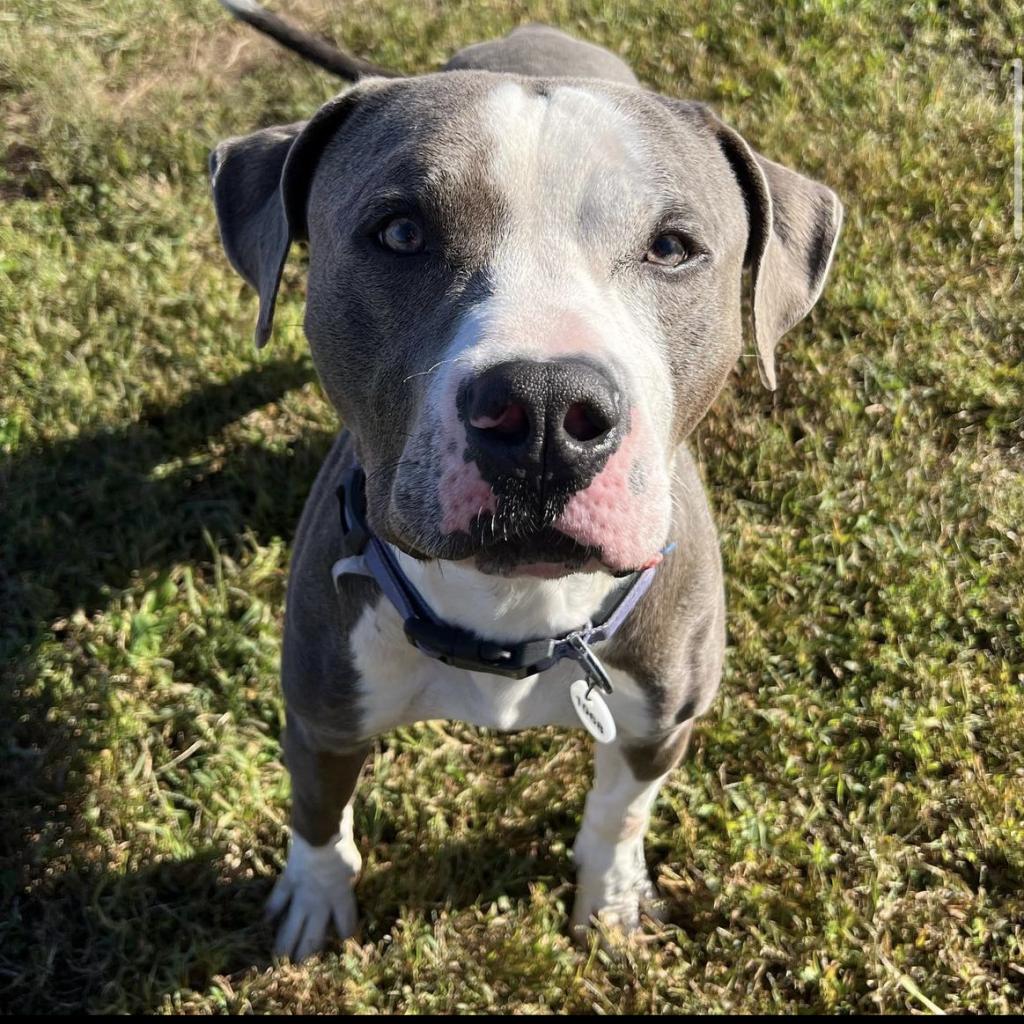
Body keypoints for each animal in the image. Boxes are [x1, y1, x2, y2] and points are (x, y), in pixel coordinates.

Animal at [207, 0, 839, 962]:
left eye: (673, 247)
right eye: (400, 231)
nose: (543, 410)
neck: (512, 615)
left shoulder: (661, 724)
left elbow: (619, 814)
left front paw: (609, 899)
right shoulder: (321, 719)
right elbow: (320, 822)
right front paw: (314, 901)